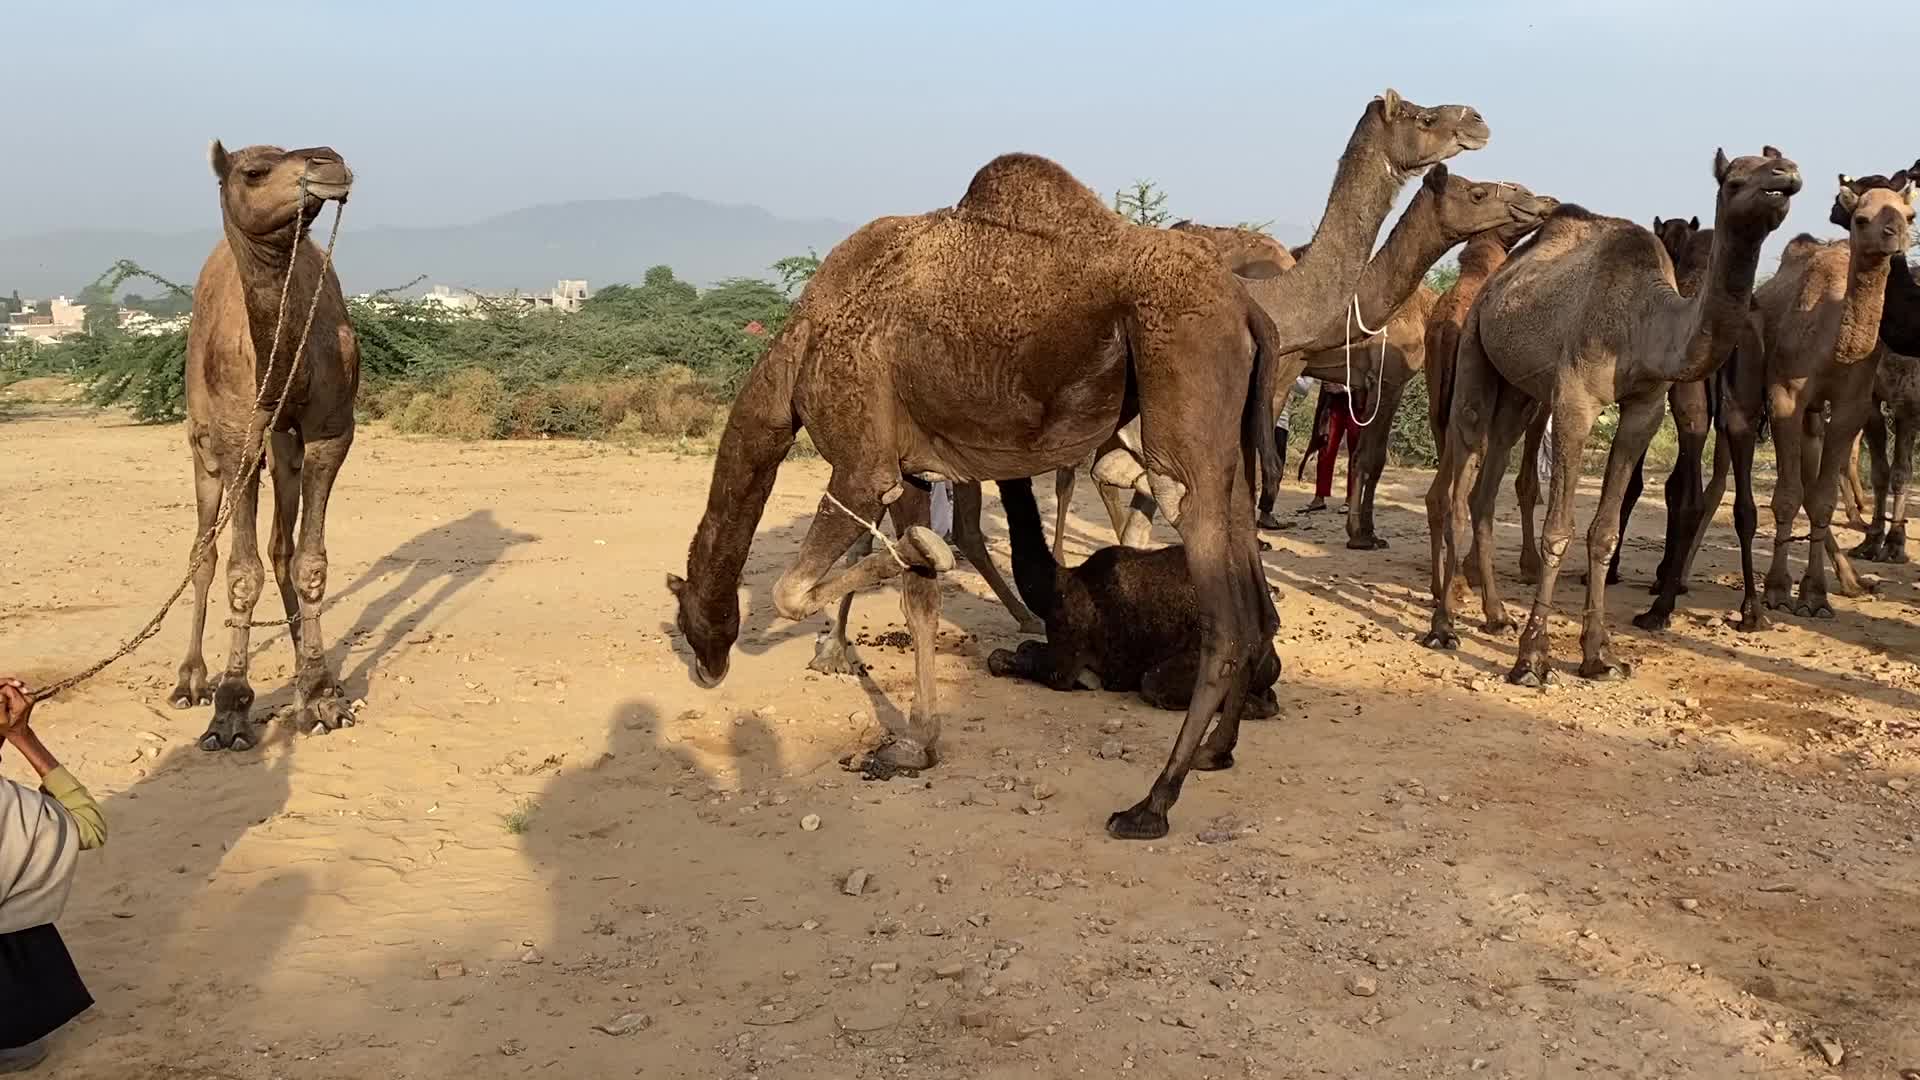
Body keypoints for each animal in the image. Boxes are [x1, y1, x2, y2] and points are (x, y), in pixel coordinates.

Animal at [171, 143, 359, 752]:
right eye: (254, 172)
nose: (329, 161)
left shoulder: (331, 432)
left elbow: (309, 562)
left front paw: (320, 694)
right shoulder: (236, 441)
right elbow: (239, 573)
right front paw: (230, 709)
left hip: (284, 450)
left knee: (282, 547)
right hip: (202, 446)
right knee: (203, 553)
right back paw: (191, 680)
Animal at [1423, 147, 1800, 685]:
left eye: (1778, 163)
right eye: (1733, 180)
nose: (1784, 176)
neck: (1643, 322)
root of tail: (1497, 280)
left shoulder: (1645, 406)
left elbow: (1604, 531)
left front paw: (1599, 655)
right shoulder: (1575, 400)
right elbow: (1558, 529)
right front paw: (1532, 658)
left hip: (1519, 393)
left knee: (1484, 489)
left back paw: (1495, 616)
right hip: (1476, 348)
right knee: (1459, 480)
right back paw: (1443, 626)